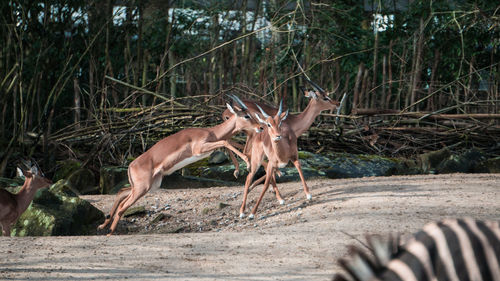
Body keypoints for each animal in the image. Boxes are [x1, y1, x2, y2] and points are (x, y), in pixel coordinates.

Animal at [95, 95, 264, 235]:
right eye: (247, 115)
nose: (261, 127)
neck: (210, 132)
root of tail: (131, 165)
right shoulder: (199, 149)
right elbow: (225, 142)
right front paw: (247, 163)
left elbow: (228, 142)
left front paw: (237, 171)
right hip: (142, 188)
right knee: (123, 206)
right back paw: (109, 232)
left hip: (149, 186)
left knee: (120, 193)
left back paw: (103, 226)